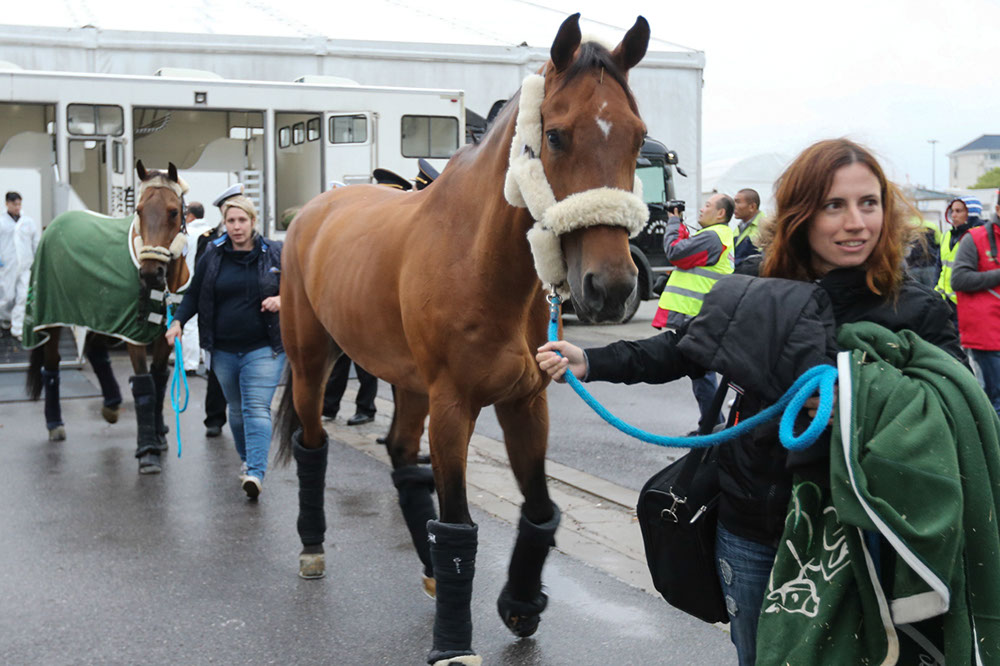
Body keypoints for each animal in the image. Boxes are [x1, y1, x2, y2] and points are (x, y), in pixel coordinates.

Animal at [25, 160, 191, 472]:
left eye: (174, 211)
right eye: (138, 210)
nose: (150, 273)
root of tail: (54, 224)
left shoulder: (165, 332)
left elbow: (160, 380)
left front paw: (159, 436)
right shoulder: (135, 334)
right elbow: (145, 386)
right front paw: (147, 451)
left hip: (99, 310)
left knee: (96, 351)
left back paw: (112, 404)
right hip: (53, 317)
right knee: (51, 364)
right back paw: (54, 423)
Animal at [278, 13, 648, 660]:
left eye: (636, 136)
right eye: (556, 136)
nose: (611, 288)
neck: (477, 262)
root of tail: (312, 212)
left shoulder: (523, 401)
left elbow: (540, 508)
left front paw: (520, 603)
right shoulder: (454, 406)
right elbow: (458, 524)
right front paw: (453, 643)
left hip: (408, 383)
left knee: (403, 459)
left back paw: (430, 570)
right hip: (311, 363)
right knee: (312, 447)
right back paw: (313, 545)